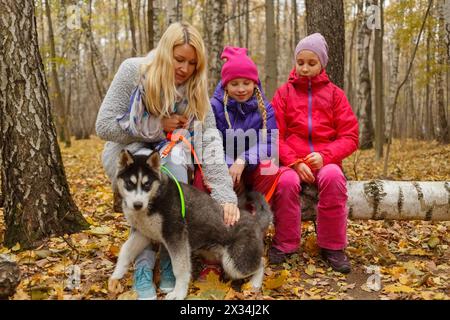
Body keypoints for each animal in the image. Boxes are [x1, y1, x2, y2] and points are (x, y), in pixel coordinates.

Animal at [107, 150, 272, 300]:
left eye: (147, 184)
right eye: (129, 183)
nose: (137, 205)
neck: (155, 198)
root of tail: (255, 220)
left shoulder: (176, 237)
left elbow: (180, 269)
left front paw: (179, 293)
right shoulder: (143, 234)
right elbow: (125, 251)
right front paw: (115, 276)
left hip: (235, 263)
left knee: (262, 263)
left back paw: (254, 284)